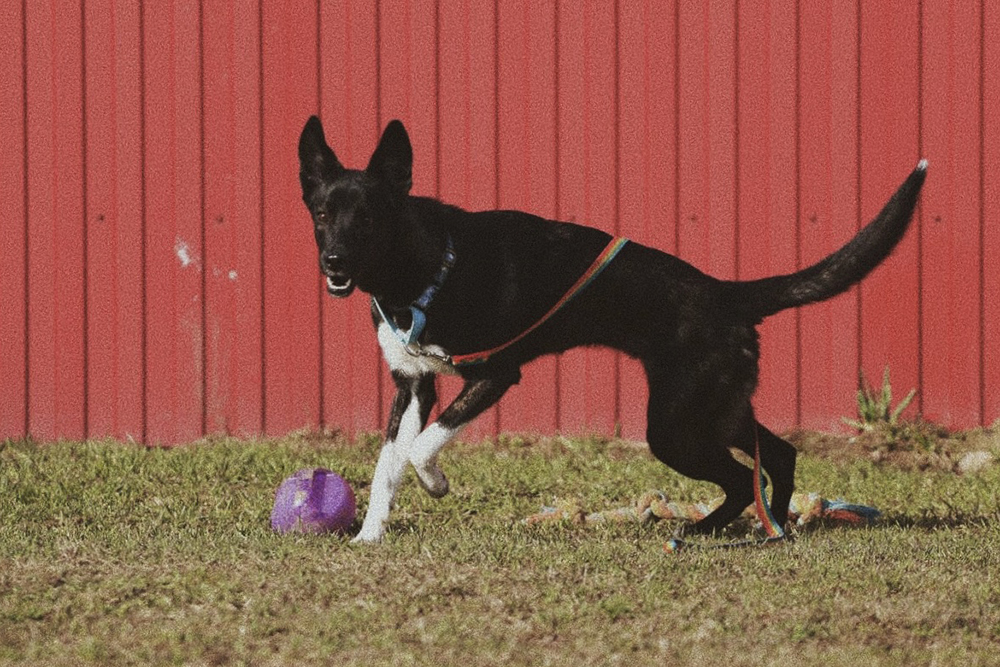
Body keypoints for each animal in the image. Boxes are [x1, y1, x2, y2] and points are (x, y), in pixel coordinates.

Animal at [298, 116, 928, 544]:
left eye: (367, 218)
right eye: (324, 214)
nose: (333, 263)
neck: (419, 270)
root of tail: (723, 291)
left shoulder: (496, 374)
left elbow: (419, 447)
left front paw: (433, 483)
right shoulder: (412, 386)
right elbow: (386, 463)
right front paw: (369, 535)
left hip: (673, 425)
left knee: (739, 474)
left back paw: (707, 530)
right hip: (715, 408)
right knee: (778, 455)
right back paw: (765, 527)